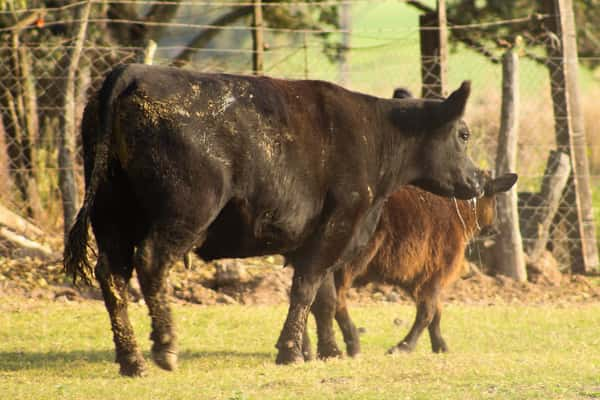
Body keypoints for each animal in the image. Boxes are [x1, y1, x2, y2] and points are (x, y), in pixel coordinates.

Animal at [65, 64, 486, 376]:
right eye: (463, 134)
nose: (479, 179)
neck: (375, 135)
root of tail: (136, 71)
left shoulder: (315, 236)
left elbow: (323, 298)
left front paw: (327, 350)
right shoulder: (339, 223)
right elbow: (307, 289)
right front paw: (291, 351)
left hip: (112, 215)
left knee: (112, 275)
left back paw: (131, 360)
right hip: (185, 211)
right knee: (151, 262)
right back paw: (165, 347)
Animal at [308, 171, 516, 356]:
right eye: (493, 197)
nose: (494, 229)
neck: (456, 211)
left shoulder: (419, 280)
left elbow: (435, 313)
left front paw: (440, 346)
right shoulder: (432, 277)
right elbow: (427, 313)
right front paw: (403, 347)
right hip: (346, 267)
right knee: (334, 300)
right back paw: (351, 344)